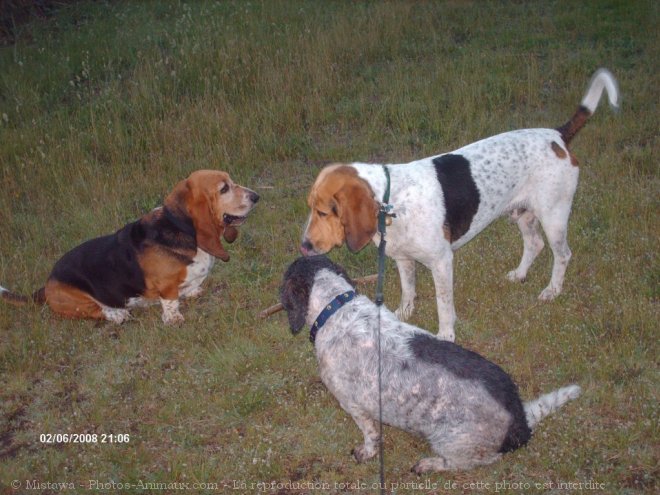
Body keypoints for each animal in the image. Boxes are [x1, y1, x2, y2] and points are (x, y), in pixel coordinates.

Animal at [282, 256, 580, 472]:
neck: (337, 308)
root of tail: (520, 422)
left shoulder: (355, 406)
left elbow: (371, 436)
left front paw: (366, 452)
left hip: (452, 442)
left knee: (472, 462)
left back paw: (429, 464)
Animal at [302, 69, 620, 340]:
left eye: (322, 211)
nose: (303, 246)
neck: (392, 204)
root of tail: (557, 135)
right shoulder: (404, 260)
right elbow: (408, 290)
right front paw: (404, 314)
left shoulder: (442, 262)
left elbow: (443, 305)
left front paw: (446, 335)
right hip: (523, 214)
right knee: (534, 244)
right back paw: (520, 274)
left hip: (553, 216)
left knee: (562, 254)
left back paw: (552, 290)